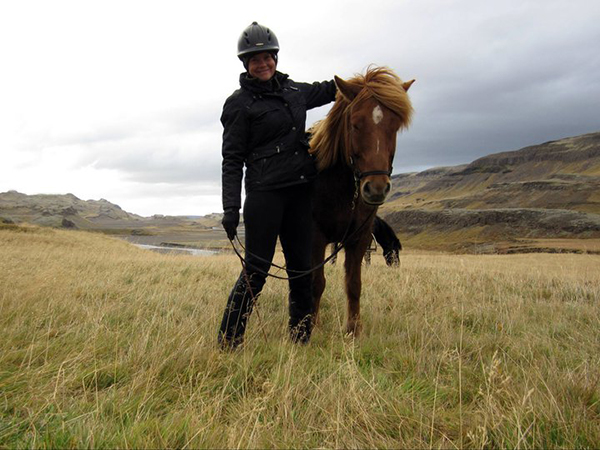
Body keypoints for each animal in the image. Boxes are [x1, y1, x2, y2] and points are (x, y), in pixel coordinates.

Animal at [310, 66, 412, 334]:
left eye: (394, 127)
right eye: (355, 125)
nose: (376, 188)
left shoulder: (359, 238)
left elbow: (354, 283)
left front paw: (353, 329)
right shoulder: (315, 237)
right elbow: (317, 282)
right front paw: (311, 324)